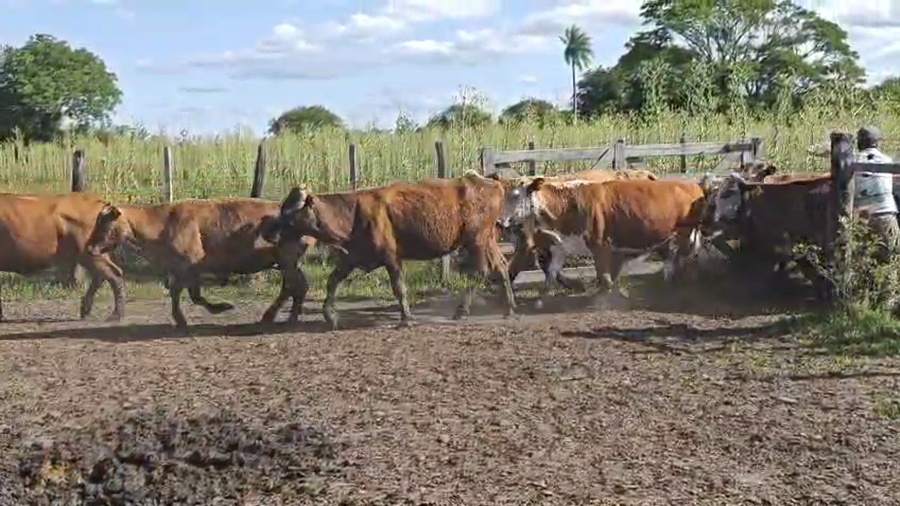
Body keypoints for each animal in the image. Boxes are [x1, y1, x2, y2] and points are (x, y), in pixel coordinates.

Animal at [0, 192, 125, 321]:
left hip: (89, 254)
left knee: (113, 275)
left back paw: (116, 315)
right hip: (93, 253)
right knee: (102, 276)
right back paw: (86, 310)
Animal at [85, 198, 311, 329]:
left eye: (104, 223)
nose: (88, 247)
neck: (163, 224)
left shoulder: (188, 266)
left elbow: (186, 294)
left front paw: (217, 309)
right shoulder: (182, 270)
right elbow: (189, 295)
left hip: (287, 260)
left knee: (294, 286)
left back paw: (281, 318)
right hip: (288, 262)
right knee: (296, 286)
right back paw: (280, 317)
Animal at [261, 172, 516, 330]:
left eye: (290, 211)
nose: (266, 231)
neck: (353, 214)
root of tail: (490, 182)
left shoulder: (391, 257)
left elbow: (399, 288)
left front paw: (406, 319)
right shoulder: (351, 257)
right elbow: (332, 281)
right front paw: (330, 316)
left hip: (476, 240)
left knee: (480, 272)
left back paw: (462, 310)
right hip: (487, 240)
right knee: (502, 266)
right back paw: (509, 309)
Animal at [498, 177, 710, 308]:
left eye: (516, 196)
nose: (499, 222)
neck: (570, 204)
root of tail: (695, 186)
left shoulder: (600, 247)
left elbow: (605, 278)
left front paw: (607, 299)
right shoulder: (561, 246)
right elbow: (551, 274)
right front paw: (541, 301)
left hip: (685, 235)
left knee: (685, 260)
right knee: (673, 261)